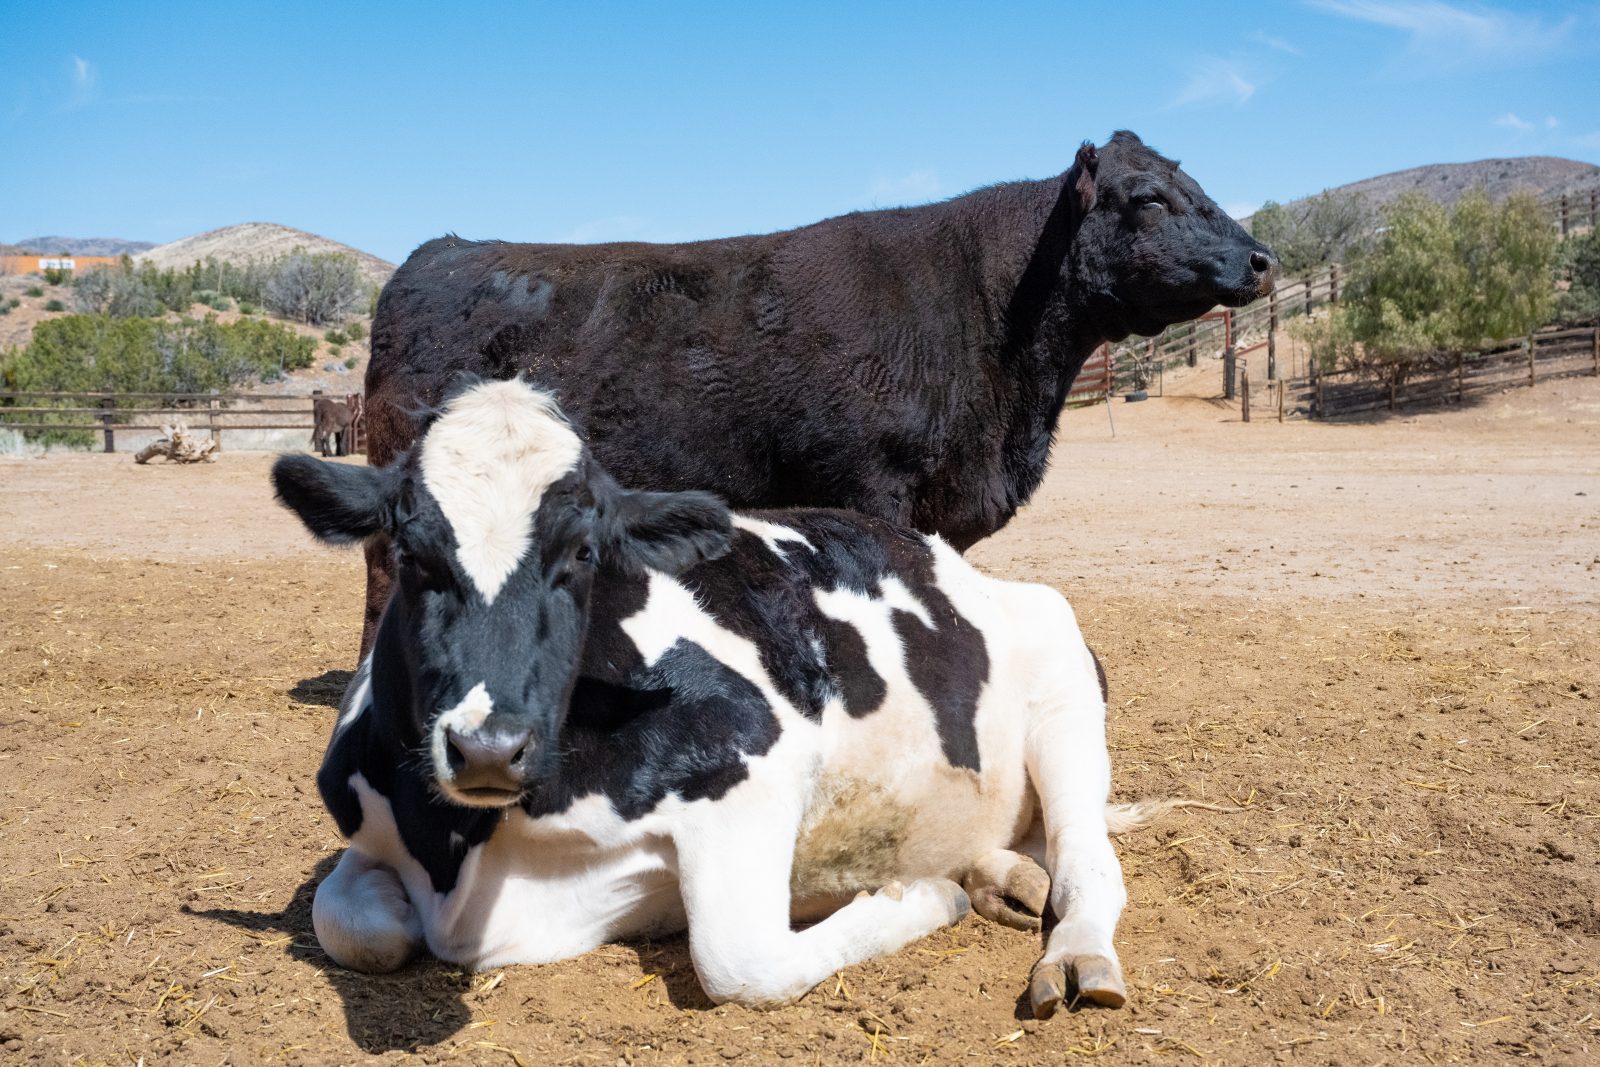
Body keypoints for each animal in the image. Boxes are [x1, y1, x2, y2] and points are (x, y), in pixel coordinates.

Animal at [272, 377, 1218, 1016]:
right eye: (410, 552)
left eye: (583, 553)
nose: (488, 746)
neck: (468, 854)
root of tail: (954, 560)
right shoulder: (370, 839)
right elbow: (354, 926)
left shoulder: (754, 765)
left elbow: (741, 962)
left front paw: (918, 897)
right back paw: (997, 874)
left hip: (1066, 697)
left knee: (1090, 861)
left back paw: (1070, 951)